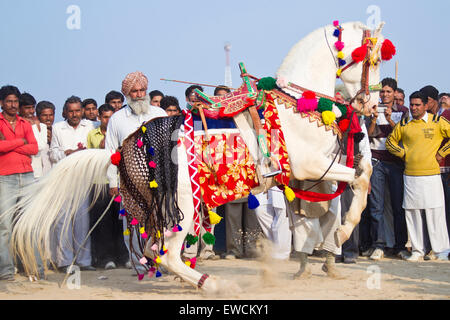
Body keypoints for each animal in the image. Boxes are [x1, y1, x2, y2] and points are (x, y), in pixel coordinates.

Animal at [7, 21, 384, 294]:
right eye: (375, 59)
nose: (371, 104)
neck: (295, 104)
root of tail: (119, 151)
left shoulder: (307, 173)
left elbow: (361, 171)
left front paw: (332, 237)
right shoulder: (312, 166)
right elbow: (361, 179)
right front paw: (343, 232)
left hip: (163, 212)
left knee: (152, 252)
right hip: (182, 209)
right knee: (166, 255)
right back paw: (217, 284)